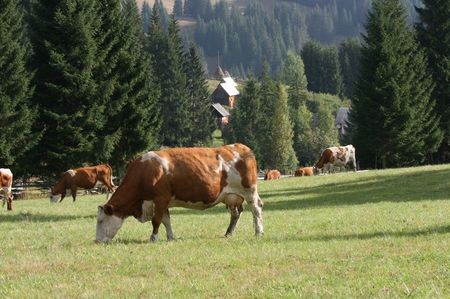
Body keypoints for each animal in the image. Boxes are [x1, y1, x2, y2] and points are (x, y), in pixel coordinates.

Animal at [95, 144, 264, 244]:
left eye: (101, 221)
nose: (96, 241)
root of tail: (241, 147)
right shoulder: (164, 201)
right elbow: (166, 220)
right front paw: (170, 237)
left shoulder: (160, 198)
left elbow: (156, 221)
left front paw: (153, 238)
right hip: (231, 196)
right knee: (236, 213)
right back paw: (229, 233)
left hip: (249, 191)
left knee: (256, 210)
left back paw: (259, 232)